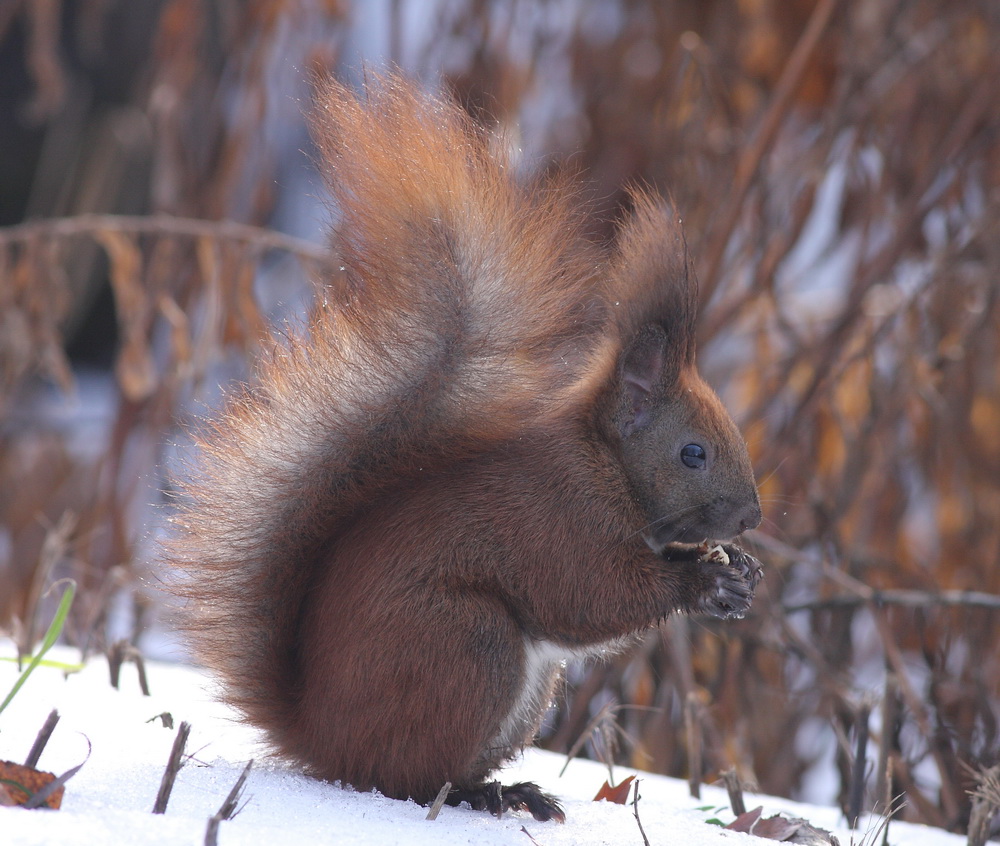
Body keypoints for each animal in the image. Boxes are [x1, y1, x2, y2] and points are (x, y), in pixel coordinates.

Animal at [168, 76, 760, 824]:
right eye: (692, 454)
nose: (751, 518)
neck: (606, 466)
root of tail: (320, 738)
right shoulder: (556, 520)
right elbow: (590, 597)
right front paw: (702, 582)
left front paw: (738, 572)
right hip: (468, 647)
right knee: (408, 777)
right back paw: (486, 794)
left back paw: (513, 790)